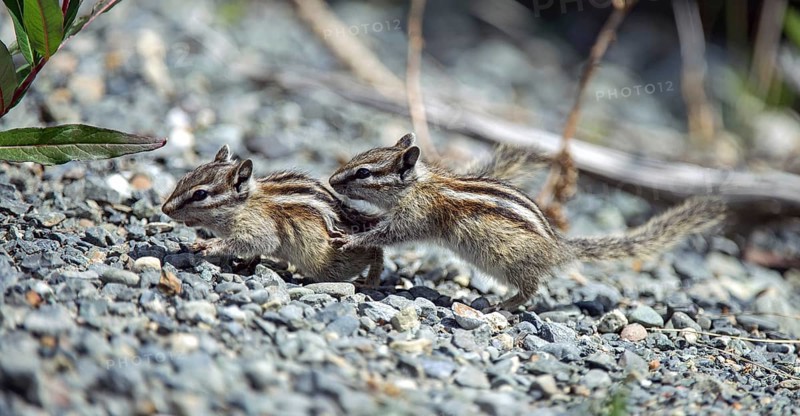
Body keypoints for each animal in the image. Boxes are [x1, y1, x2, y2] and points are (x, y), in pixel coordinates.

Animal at [161, 145, 384, 286]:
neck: (244, 205)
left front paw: (209, 245)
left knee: (375, 250)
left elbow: (258, 242)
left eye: (200, 194)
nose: (165, 209)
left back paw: (370, 281)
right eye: (184, 177)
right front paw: (248, 263)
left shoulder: (260, 228)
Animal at [328, 133, 726, 310]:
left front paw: (353, 240)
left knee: (532, 290)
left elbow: (391, 233)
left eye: (363, 172)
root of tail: (559, 248)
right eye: (357, 160)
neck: (418, 184)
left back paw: (502, 306)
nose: (331, 181)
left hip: (511, 263)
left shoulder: (417, 216)